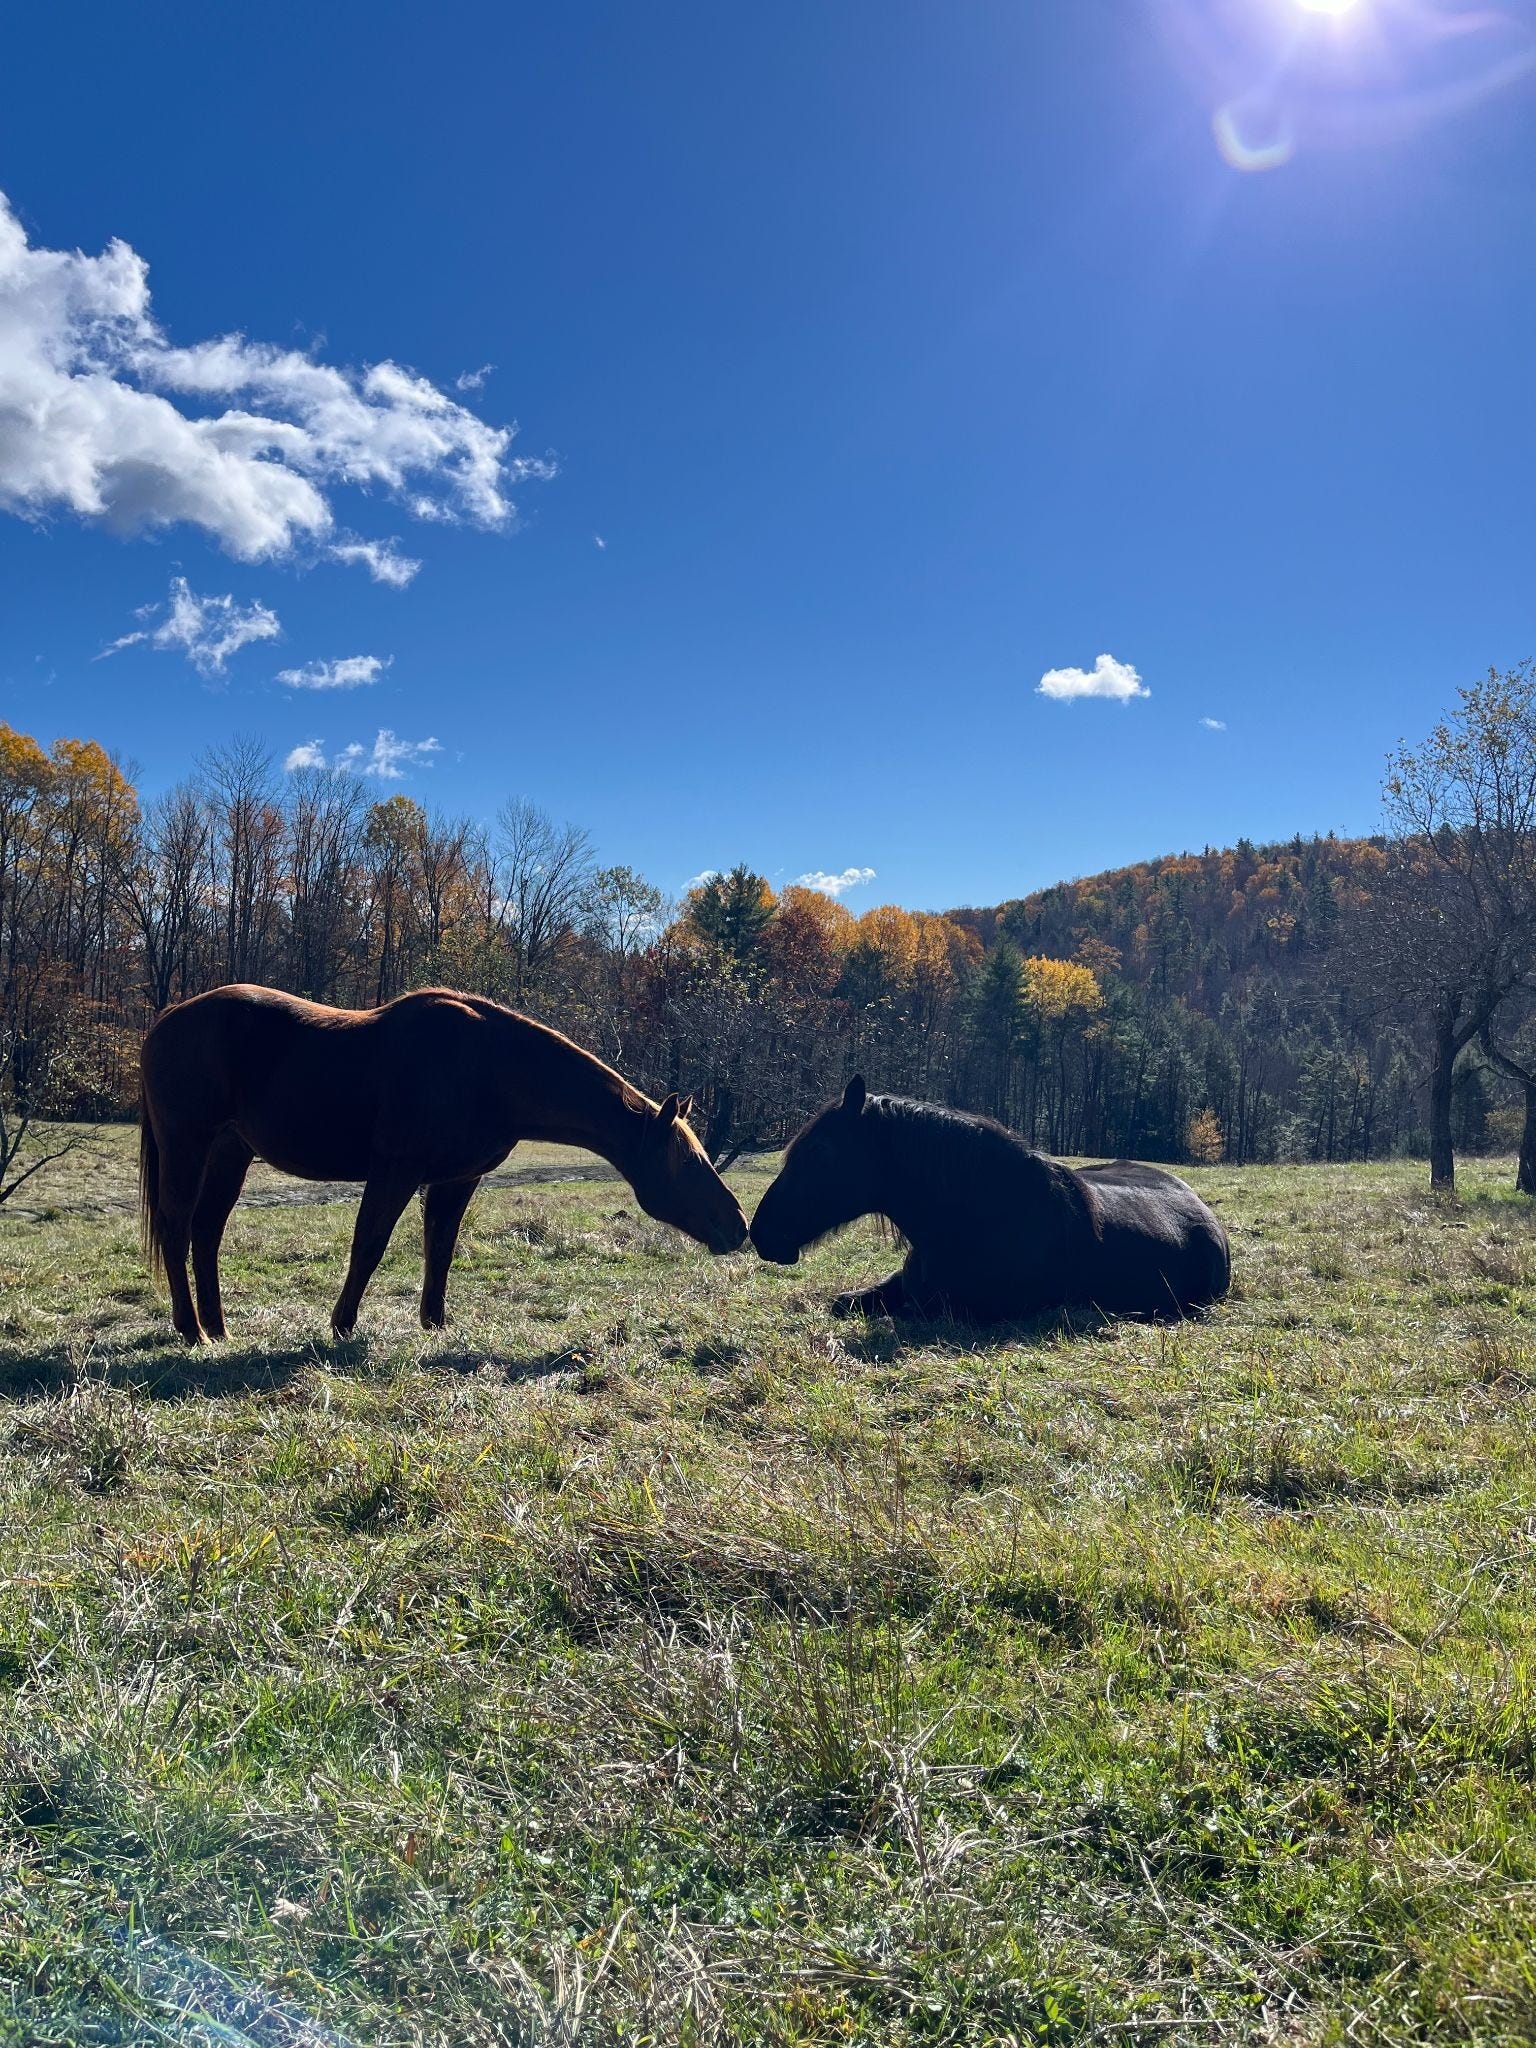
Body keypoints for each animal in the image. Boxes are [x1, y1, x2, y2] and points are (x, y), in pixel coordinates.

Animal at [138, 983, 748, 1344]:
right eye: (690, 1163)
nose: (738, 1226)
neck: (489, 1068)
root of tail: (167, 1018)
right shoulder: (395, 1172)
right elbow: (369, 1246)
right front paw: (343, 1325)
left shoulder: (457, 1180)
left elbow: (441, 1250)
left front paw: (434, 1323)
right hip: (189, 1145)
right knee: (176, 1227)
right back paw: (190, 1330)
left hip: (229, 1153)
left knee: (205, 1232)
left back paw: (218, 1329)